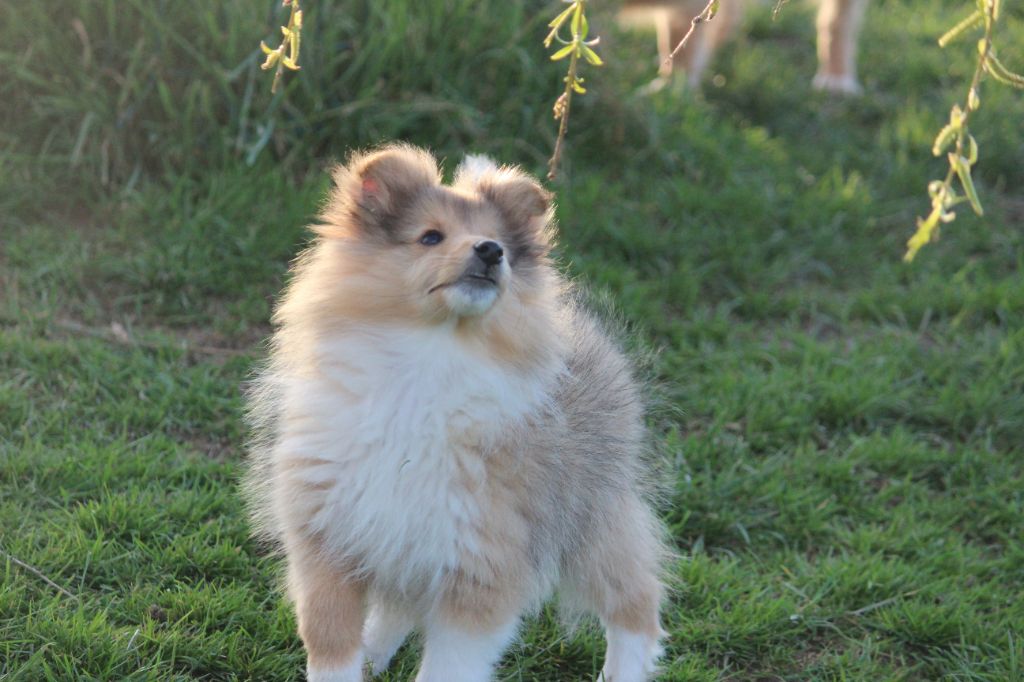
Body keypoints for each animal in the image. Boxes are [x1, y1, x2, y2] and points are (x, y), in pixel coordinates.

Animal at [243, 143, 667, 679]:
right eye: (430, 236)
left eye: (499, 241)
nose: (491, 250)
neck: (429, 360)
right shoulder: (328, 545)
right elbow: (331, 648)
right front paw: (356, 661)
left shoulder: (481, 567)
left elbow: (445, 667)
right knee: (398, 606)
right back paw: (375, 656)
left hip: (592, 521)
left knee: (637, 603)